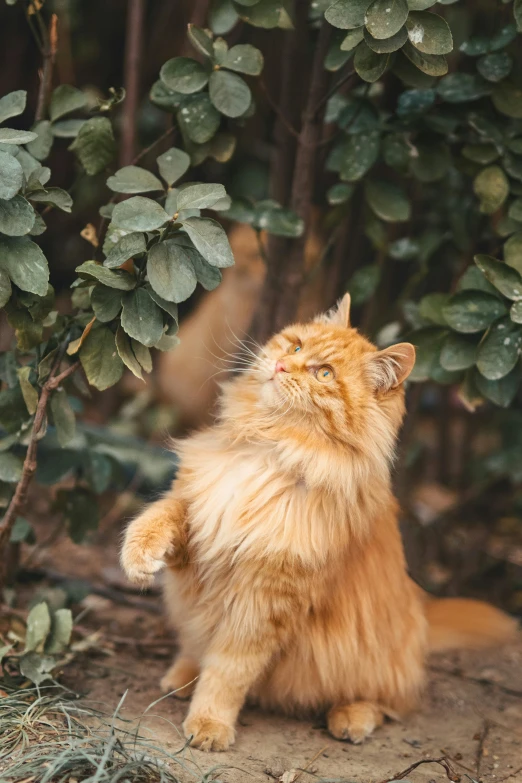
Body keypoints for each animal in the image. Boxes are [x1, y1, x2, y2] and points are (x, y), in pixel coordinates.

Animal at [122, 296, 516, 752]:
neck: (270, 451)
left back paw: (351, 717)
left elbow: (228, 671)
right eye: (294, 347)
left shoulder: (265, 601)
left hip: (373, 660)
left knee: (390, 700)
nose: (280, 366)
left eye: (324, 374)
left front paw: (209, 723)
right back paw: (182, 674)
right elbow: (157, 516)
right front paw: (138, 559)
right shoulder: (200, 525)